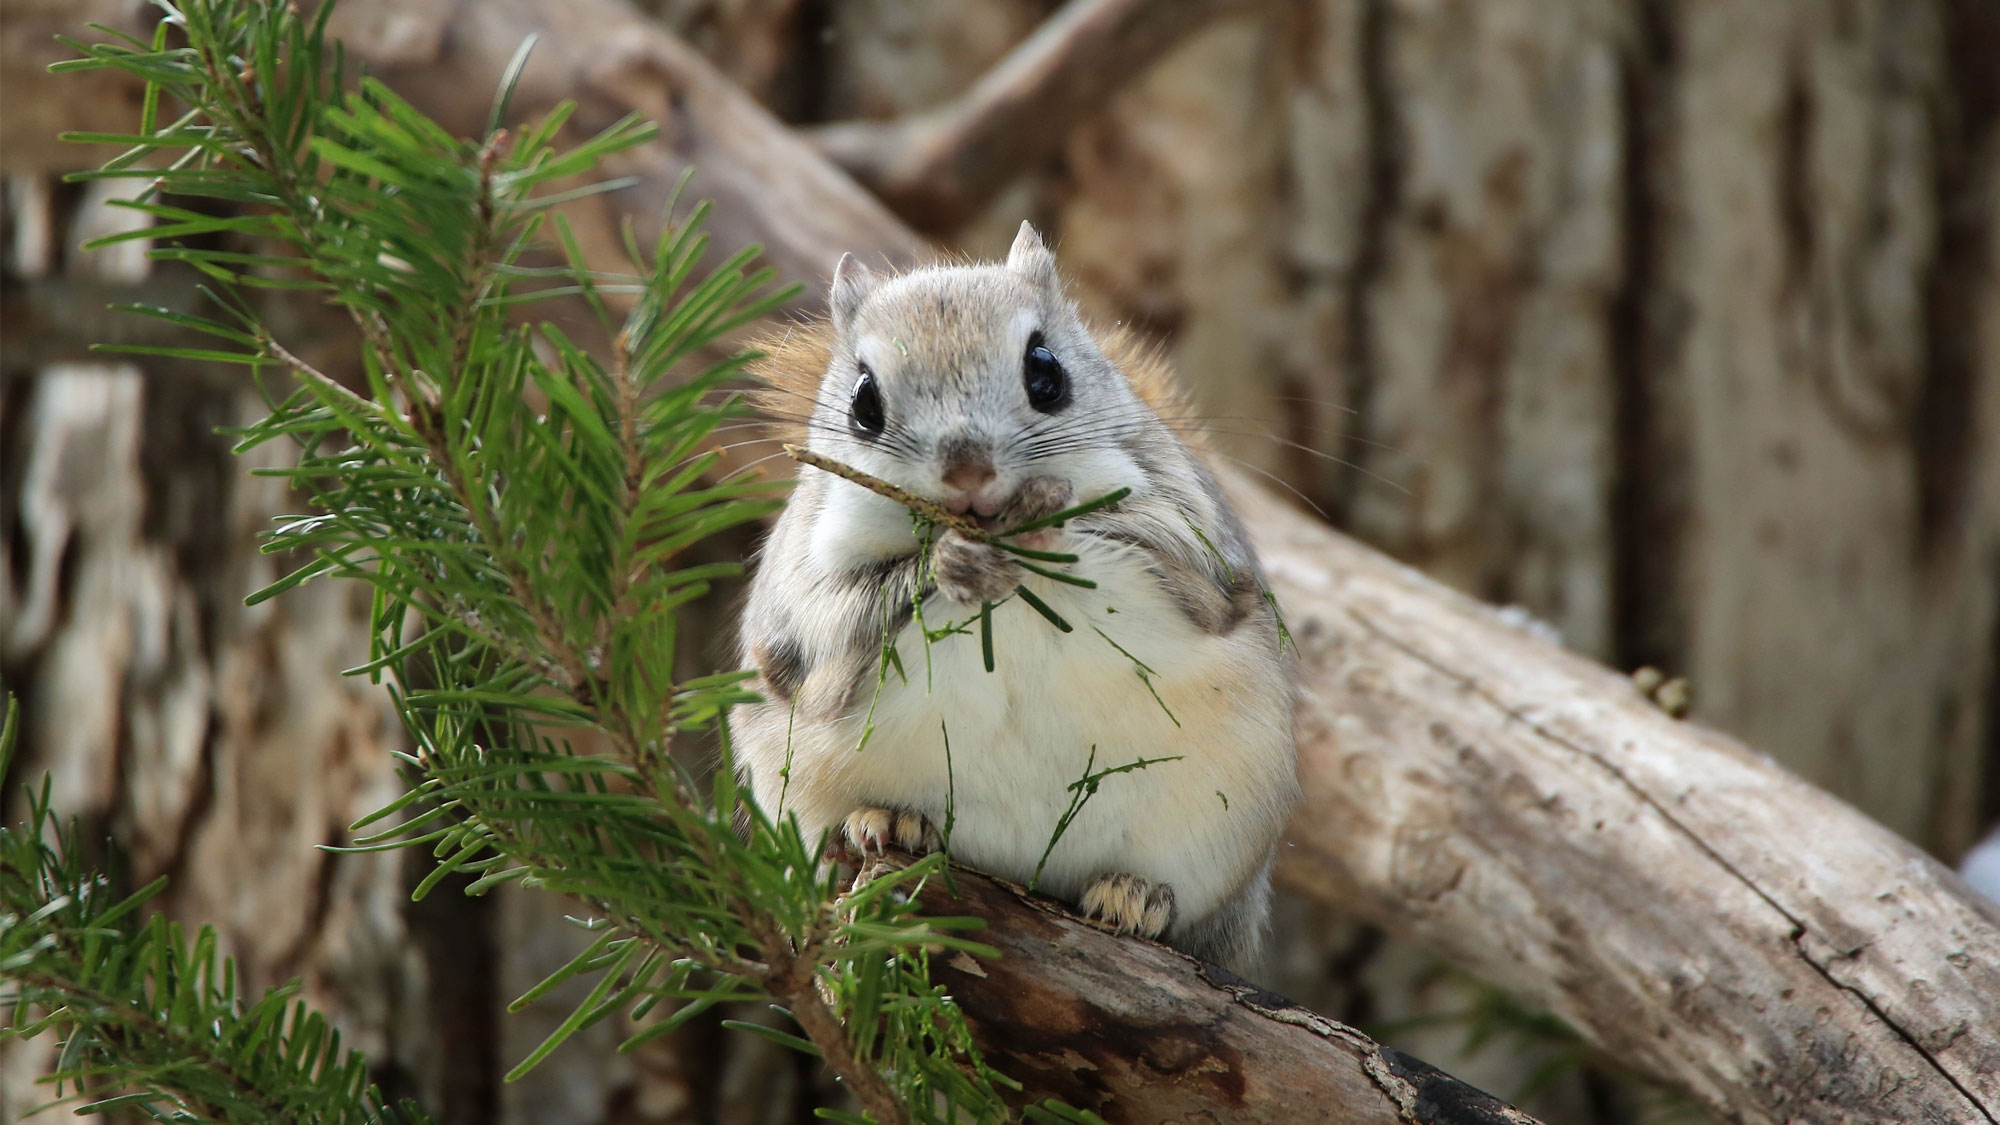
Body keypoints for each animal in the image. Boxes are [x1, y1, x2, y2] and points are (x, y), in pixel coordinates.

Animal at [736, 223, 1296, 968]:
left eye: (1046, 371)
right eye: (862, 401)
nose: (968, 470)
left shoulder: (1195, 537)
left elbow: (1160, 549)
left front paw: (1040, 532)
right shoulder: (799, 590)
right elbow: (835, 627)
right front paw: (951, 562)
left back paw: (1135, 895)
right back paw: (886, 820)